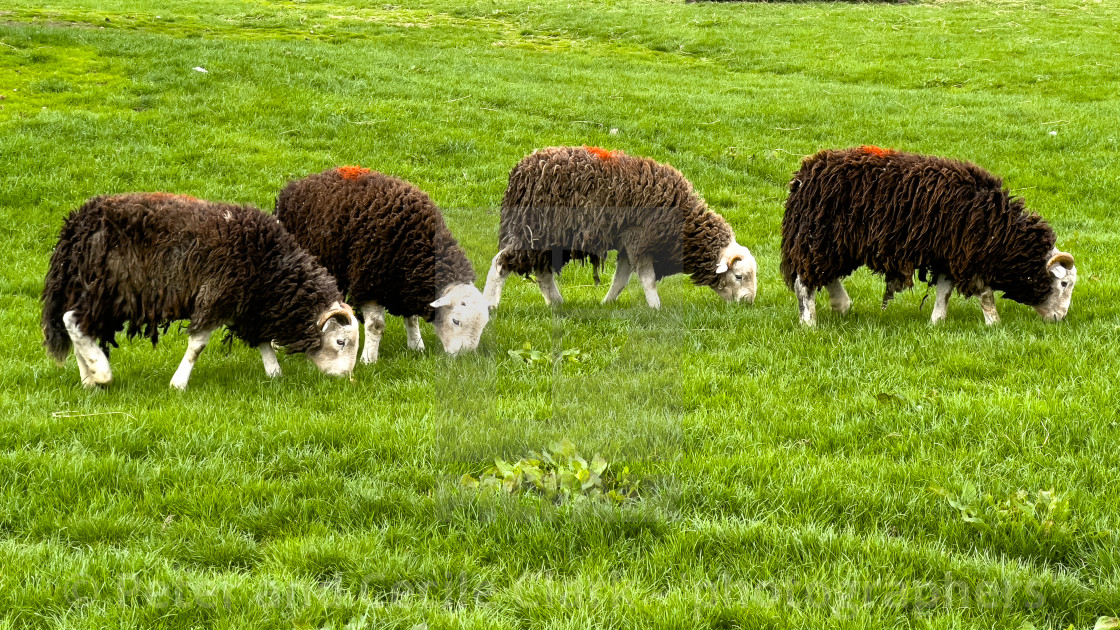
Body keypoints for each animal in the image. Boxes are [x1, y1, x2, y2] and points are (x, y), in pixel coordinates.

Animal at [41, 191, 358, 387]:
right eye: (341, 342)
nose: (346, 379)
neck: (270, 265)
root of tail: (77, 224)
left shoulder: (248, 303)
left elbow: (261, 340)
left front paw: (274, 373)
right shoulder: (217, 294)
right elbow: (197, 345)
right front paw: (178, 383)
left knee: (77, 324)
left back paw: (89, 378)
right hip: (108, 290)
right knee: (73, 321)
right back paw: (101, 373)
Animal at [273, 165, 488, 363]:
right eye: (456, 320)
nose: (465, 358)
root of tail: (296, 185)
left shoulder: (406, 283)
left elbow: (412, 318)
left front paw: (416, 346)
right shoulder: (370, 282)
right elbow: (376, 326)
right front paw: (369, 359)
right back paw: (277, 343)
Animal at [483, 144, 757, 307]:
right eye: (739, 276)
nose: (748, 302)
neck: (685, 224)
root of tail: (521, 171)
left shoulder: (628, 244)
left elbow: (621, 279)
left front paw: (607, 303)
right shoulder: (640, 241)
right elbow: (647, 279)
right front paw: (656, 308)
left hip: (548, 237)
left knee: (542, 272)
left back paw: (557, 303)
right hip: (534, 229)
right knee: (501, 263)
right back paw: (490, 304)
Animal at [779, 145, 1075, 322]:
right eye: (1063, 283)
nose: (1059, 318)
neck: (1001, 231)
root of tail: (805, 174)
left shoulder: (948, 253)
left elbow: (944, 291)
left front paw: (937, 322)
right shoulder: (969, 256)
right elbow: (986, 295)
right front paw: (994, 324)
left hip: (833, 243)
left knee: (824, 274)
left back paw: (841, 304)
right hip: (819, 237)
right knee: (804, 283)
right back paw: (810, 323)